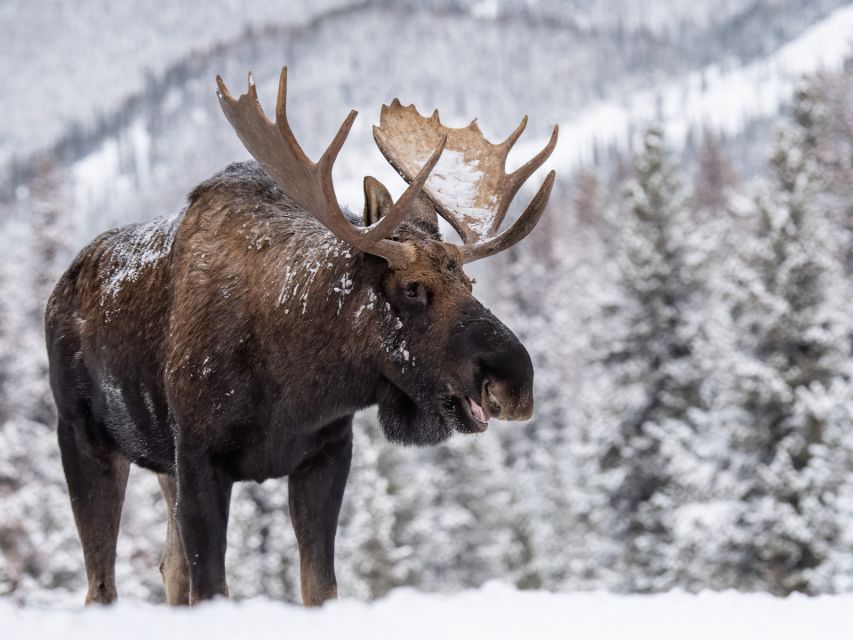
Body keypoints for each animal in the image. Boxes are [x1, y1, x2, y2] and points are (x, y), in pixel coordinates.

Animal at [45, 67, 560, 608]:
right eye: (413, 288)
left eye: (471, 282)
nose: (515, 381)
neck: (294, 386)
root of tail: (59, 289)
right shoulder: (199, 457)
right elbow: (213, 590)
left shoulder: (326, 455)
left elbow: (319, 588)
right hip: (81, 435)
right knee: (101, 584)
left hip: (161, 466)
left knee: (169, 568)